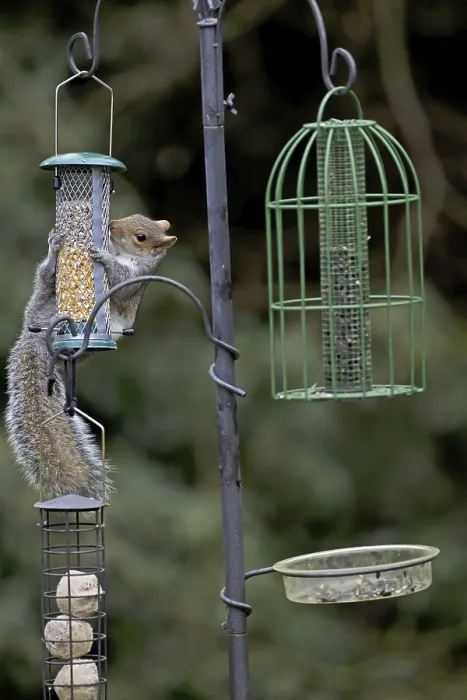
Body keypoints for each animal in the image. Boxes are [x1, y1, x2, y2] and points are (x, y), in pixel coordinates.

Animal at [5, 214, 177, 503]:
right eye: (132, 217)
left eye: (141, 236)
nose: (112, 225)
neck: (124, 253)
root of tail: (35, 337)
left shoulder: (133, 279)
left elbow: (119, 279)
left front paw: (104, 257)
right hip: (44, 298)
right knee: (47, 277)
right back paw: (54, 251)